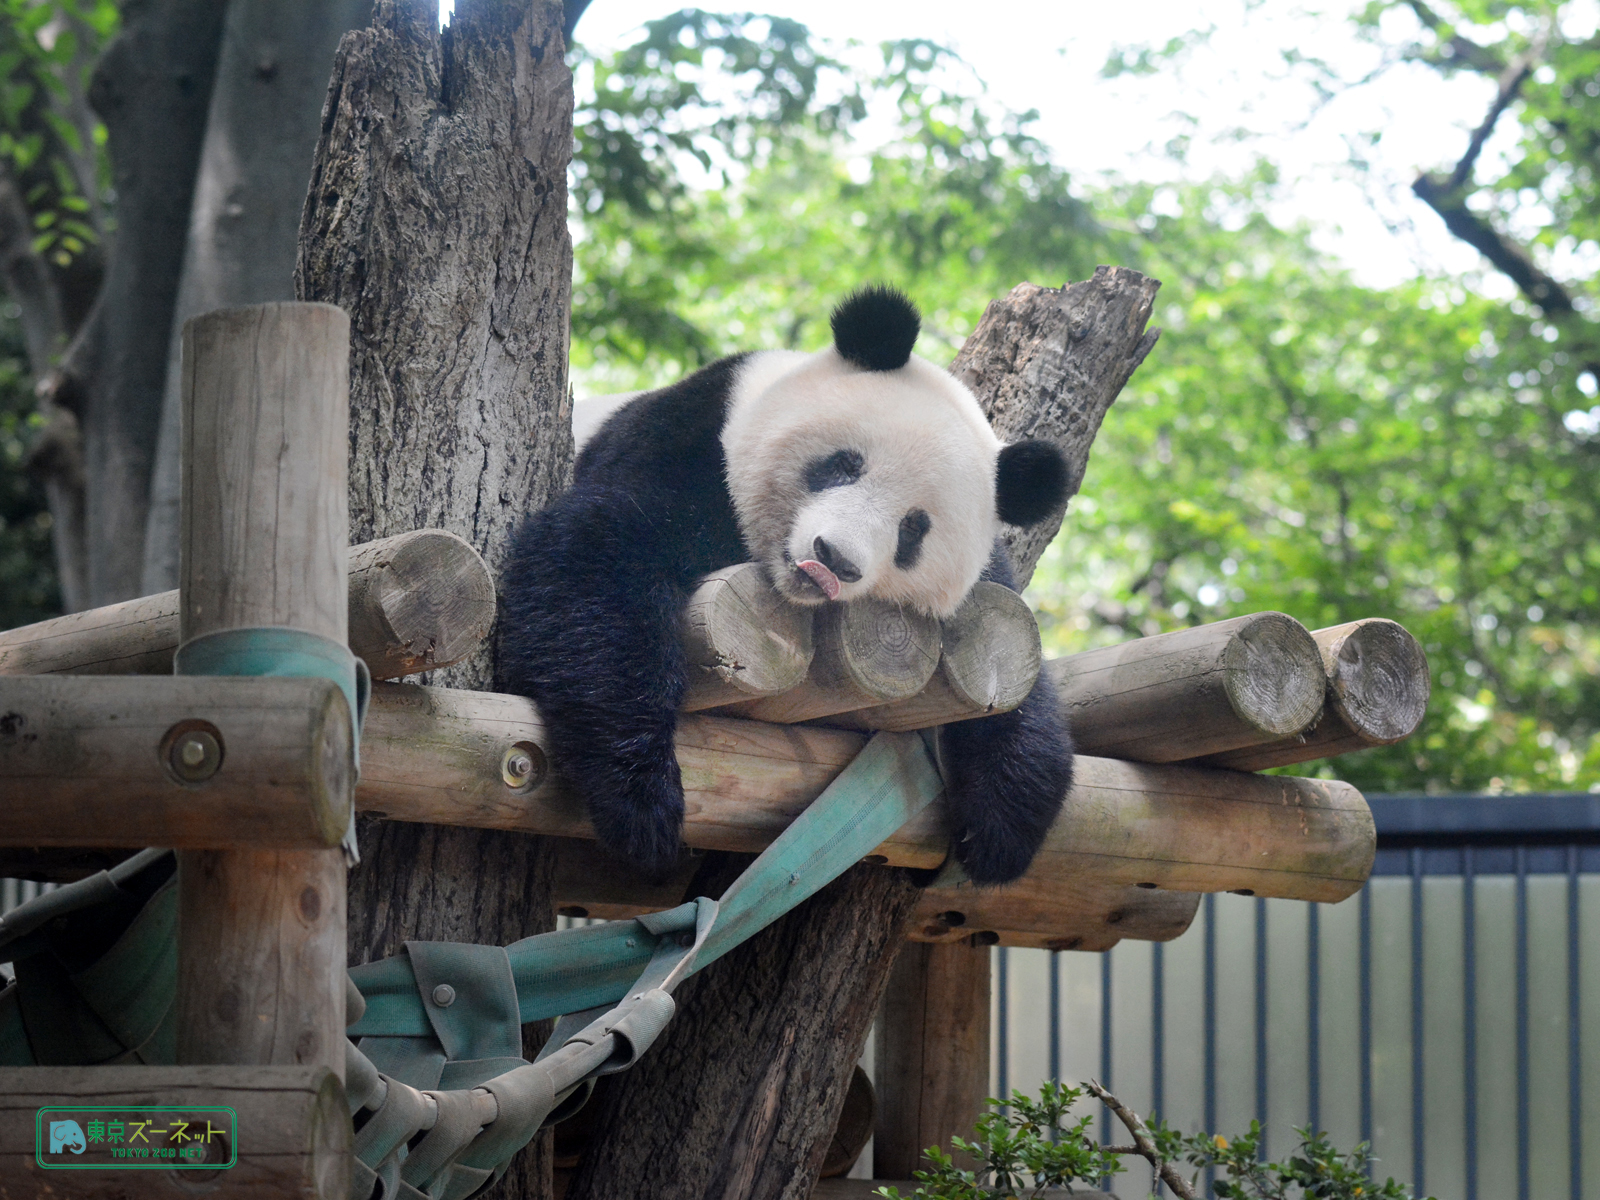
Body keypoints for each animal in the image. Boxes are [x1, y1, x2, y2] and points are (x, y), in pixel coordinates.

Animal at [499, 289, 1075, 889]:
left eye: (914, 529)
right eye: (845, 464)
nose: (834, 558)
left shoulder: (987, 585)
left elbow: (1013, 665)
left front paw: (1003, 827)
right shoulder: (687, 446)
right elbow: (595, 554)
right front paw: (640, 802)